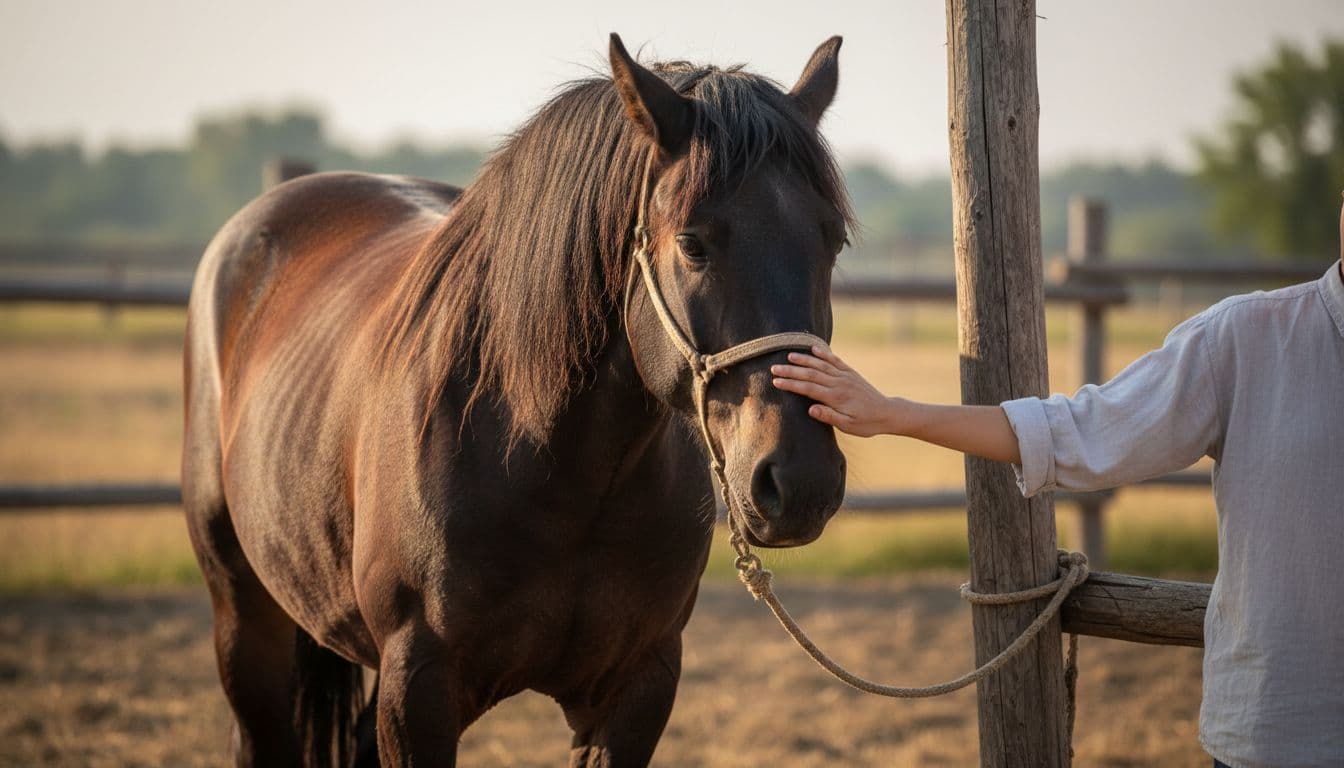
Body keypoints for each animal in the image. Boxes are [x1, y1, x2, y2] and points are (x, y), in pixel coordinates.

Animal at [182, 33, 853, 767]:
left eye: (833, 240)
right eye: (692, 242)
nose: (800, 481)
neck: (551, 467)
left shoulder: (637, 687)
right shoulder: (417, 688)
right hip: (244, 620)